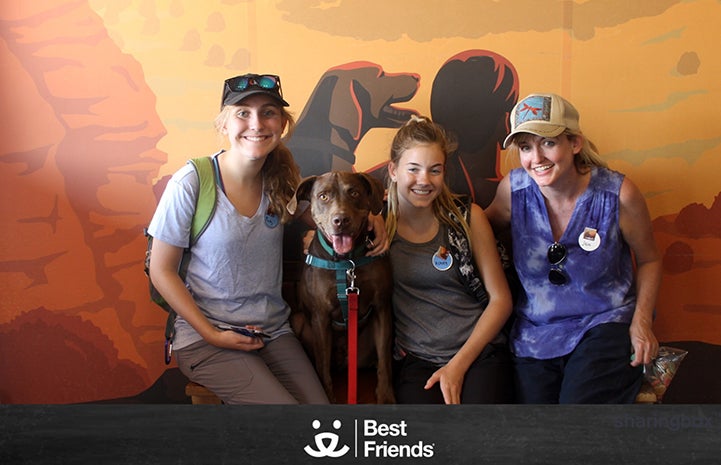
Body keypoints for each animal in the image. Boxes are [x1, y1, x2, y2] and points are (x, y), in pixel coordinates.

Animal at [286, 171, 394, 402]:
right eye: (323, 196)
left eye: (353, 192)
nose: (341, 220)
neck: (347, 262)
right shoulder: (320, 316)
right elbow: (322, 366)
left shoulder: (382, 308)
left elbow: (385, 359)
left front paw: (386, 396)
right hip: (297, 319)